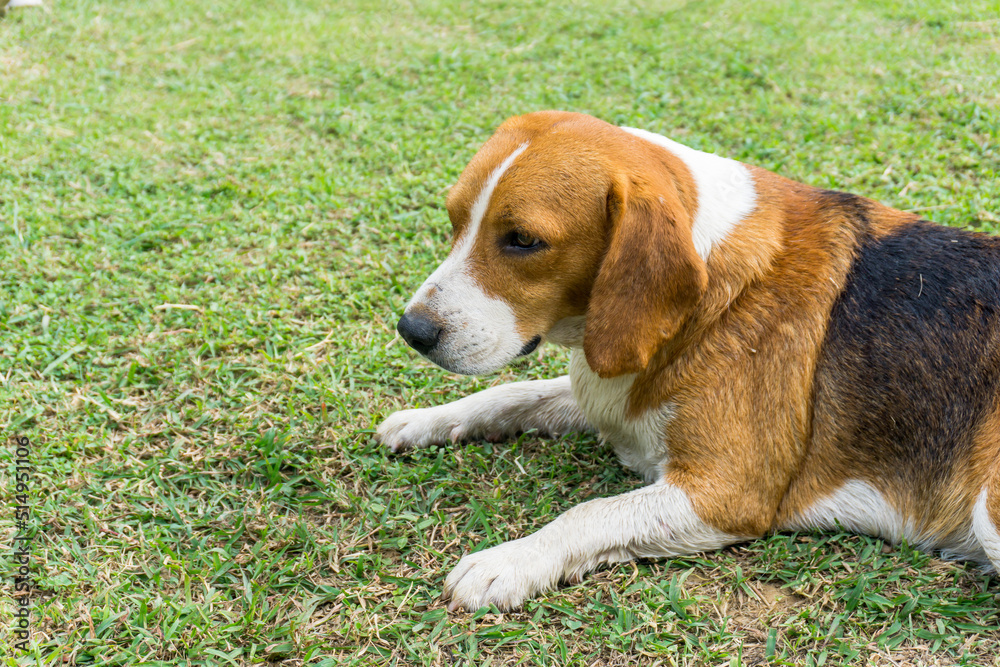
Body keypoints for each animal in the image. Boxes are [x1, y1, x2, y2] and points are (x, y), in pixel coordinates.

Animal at [376, 112, 1000, 612]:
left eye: (524, 240)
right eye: (454, 219)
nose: (412, 331)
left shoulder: (726, 493)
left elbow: (589, 513)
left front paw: (508, 561)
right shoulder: (610, 397)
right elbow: (509, 395)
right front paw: (425, 420)